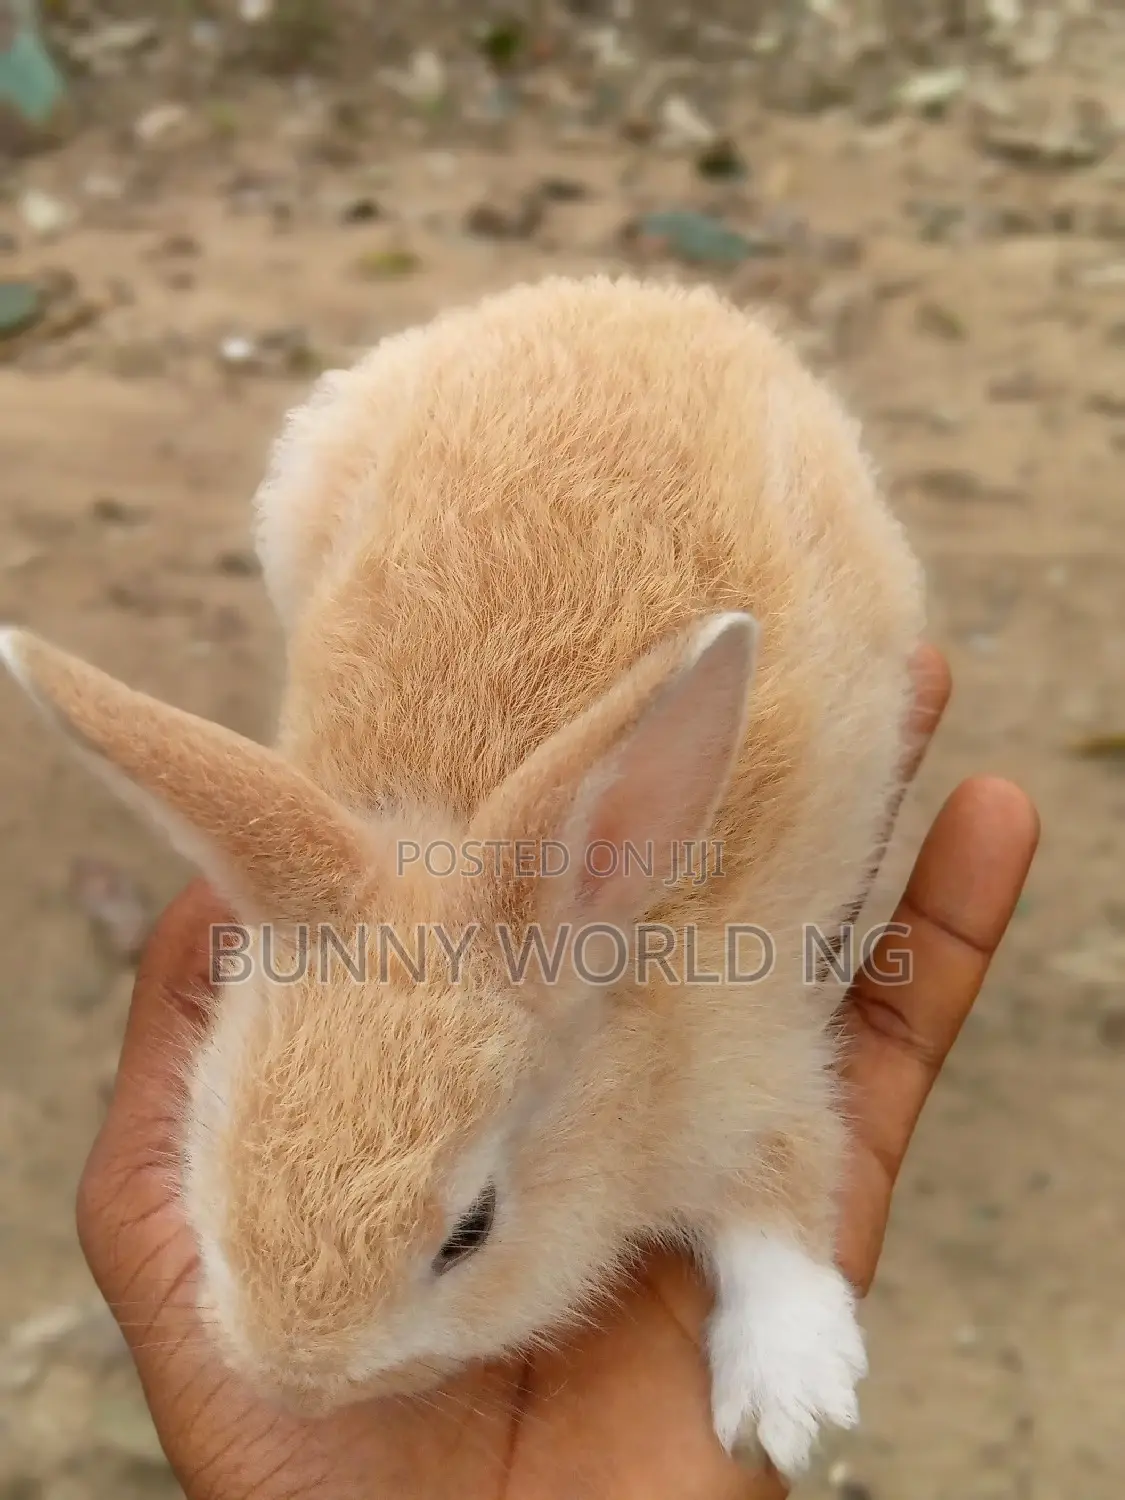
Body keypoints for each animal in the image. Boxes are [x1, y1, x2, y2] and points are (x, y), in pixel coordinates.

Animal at [0, 273, 924, 1478]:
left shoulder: (759, 1066)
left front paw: (789, 1400)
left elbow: (782, 1198)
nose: (294, 1383)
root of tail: (630, 299)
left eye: (471, 1229)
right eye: (218, 1137)